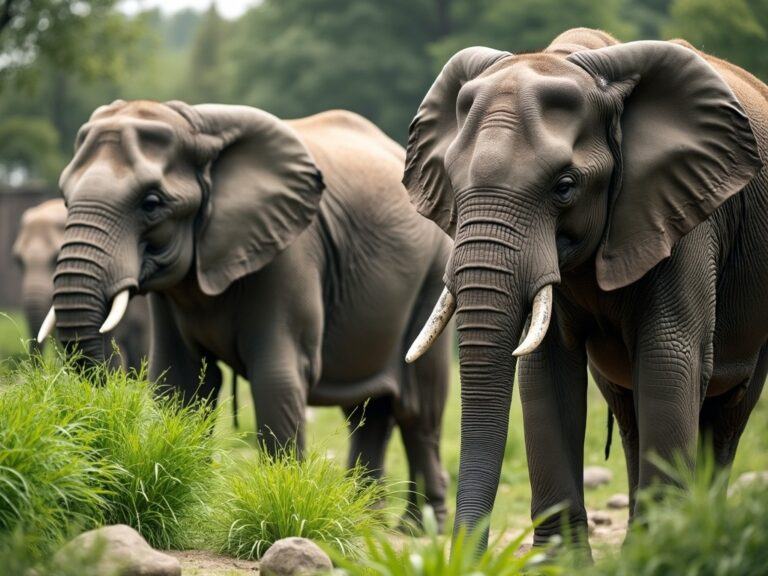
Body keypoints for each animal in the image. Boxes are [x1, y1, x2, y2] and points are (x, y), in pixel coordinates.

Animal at [40, 99, 450, 528]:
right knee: (368, 411)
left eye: (151, 203)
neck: (197, 124)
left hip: (433, 271)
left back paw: (421, 529)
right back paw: (368, 522)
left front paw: (283, 504)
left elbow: (276, 378)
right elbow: (179, 378)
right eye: (65, 199)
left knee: (418, 411)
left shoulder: (290, 252)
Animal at [404, 28, 764, 552]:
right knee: (629, 413)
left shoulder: (684, 214)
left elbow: (669, 360)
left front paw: (664, 548)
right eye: (452, 181)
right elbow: (545, 370)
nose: (463, 556)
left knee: (728, 411)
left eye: (565, 185)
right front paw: (564, 561)